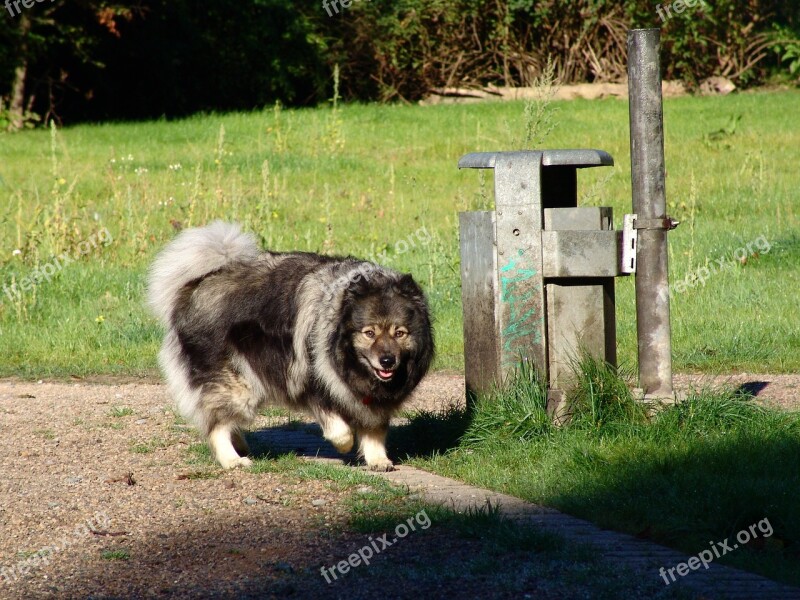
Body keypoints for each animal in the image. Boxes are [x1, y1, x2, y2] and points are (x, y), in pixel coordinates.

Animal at [147, 223, 434, 472]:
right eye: (370, 333)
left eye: (399, 333)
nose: (387, 361)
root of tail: (198, 283)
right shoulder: (315, 382)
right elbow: (340, 429)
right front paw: (345, 445)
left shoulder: (373, 402)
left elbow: (374, 430)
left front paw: (378, 459)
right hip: (236, 385)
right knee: (217, 424)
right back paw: (232, 459)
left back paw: (240, 445)